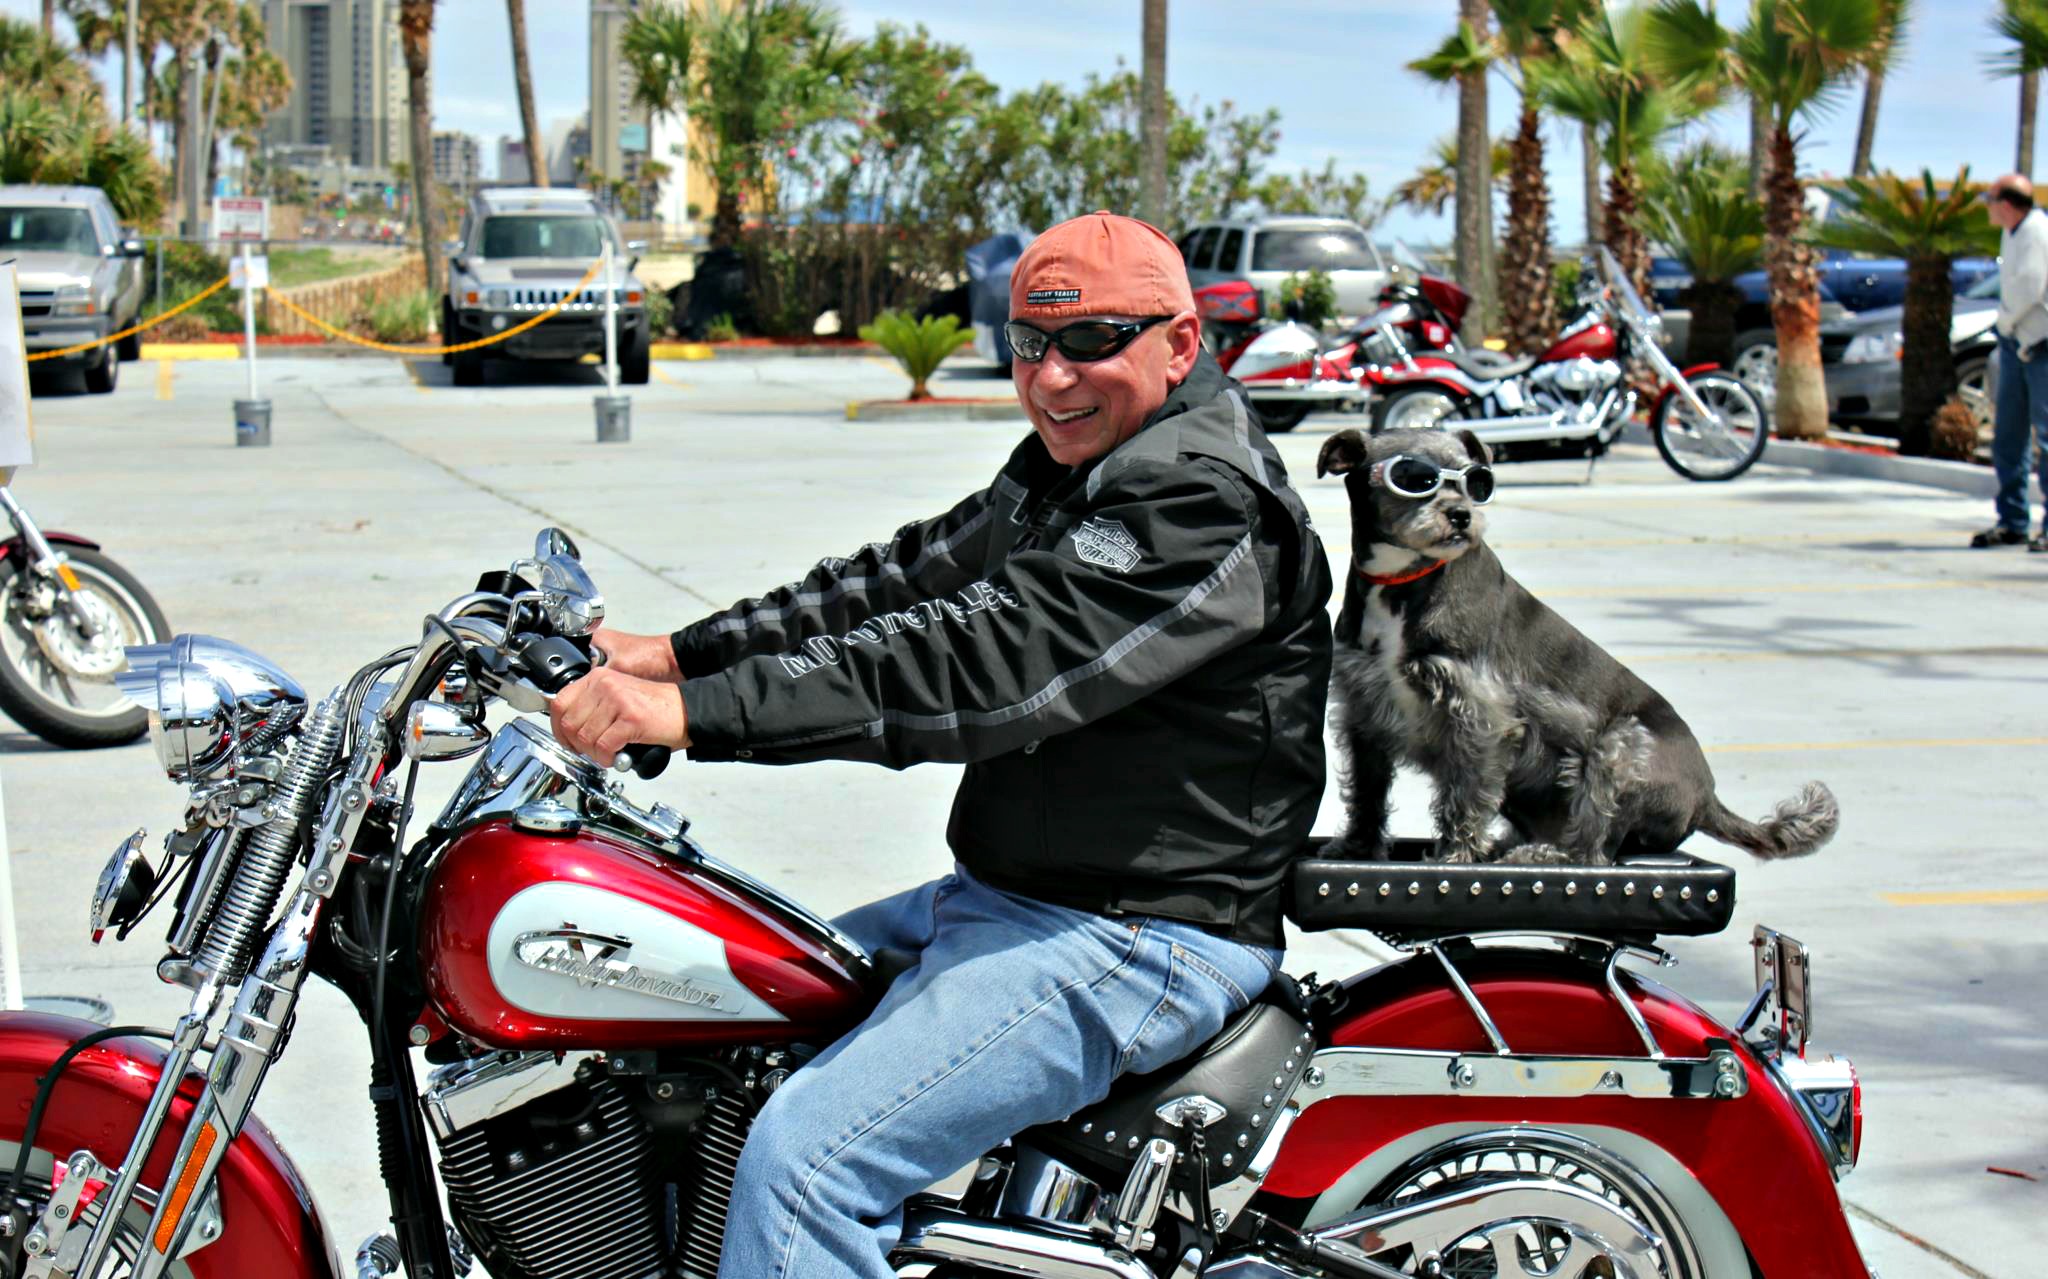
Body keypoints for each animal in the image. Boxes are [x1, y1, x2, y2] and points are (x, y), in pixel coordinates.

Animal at [1318, 423, 1851, 863]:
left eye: (1477, 481)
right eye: (1413, 477)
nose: (1461, 515)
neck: (1406, 580)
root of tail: (1706, 800)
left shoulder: (1480, 712)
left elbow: (1464, 794)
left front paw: (1456, 856)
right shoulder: (1364, 706)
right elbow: (1367, 789)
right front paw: (1358, 846)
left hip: (1621, 746)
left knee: (1597, 849)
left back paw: (1542, 856)